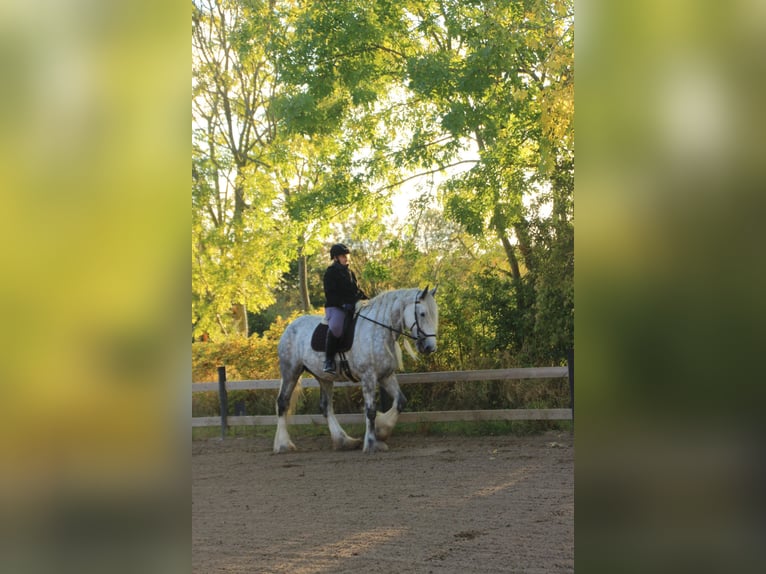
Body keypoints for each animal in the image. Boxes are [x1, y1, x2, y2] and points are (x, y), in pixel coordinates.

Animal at [272, 288, 438, 454]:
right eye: (423, 313)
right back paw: (283, 445)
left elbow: (400, 401)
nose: (430, 347)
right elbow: (370, 411)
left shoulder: (386, 376)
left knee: (326, 407)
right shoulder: (368, 377)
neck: (377, 331)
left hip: (324, 378)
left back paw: (344, 441)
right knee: (282, 403)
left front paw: (381, 431)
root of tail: (290, 326)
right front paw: (371, 443)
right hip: (291, 372)